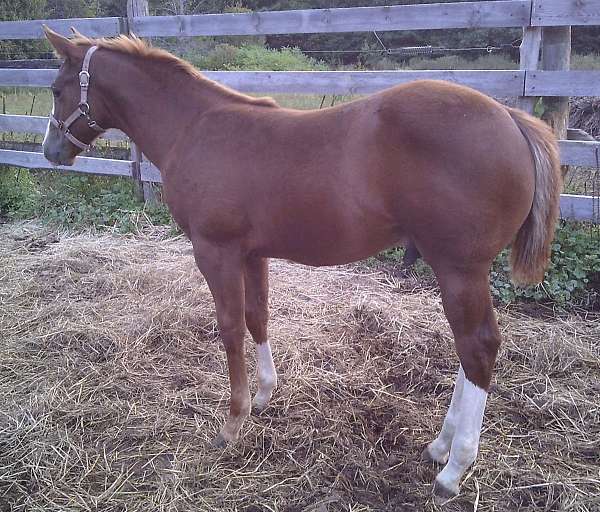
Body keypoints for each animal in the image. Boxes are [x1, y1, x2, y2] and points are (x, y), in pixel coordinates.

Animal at [42, 27, 564, 496]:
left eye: (56, 89)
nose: (51, 151)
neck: (195, 127)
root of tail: (511, 116)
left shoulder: (215, 251)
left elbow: (230, 328)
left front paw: (233, 422)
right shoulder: (252, 253)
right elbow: (257, 317)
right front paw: (264, 395)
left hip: (459, 268)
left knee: (478, 347)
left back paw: (453, 468)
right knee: (468, 349)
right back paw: (440, 446)